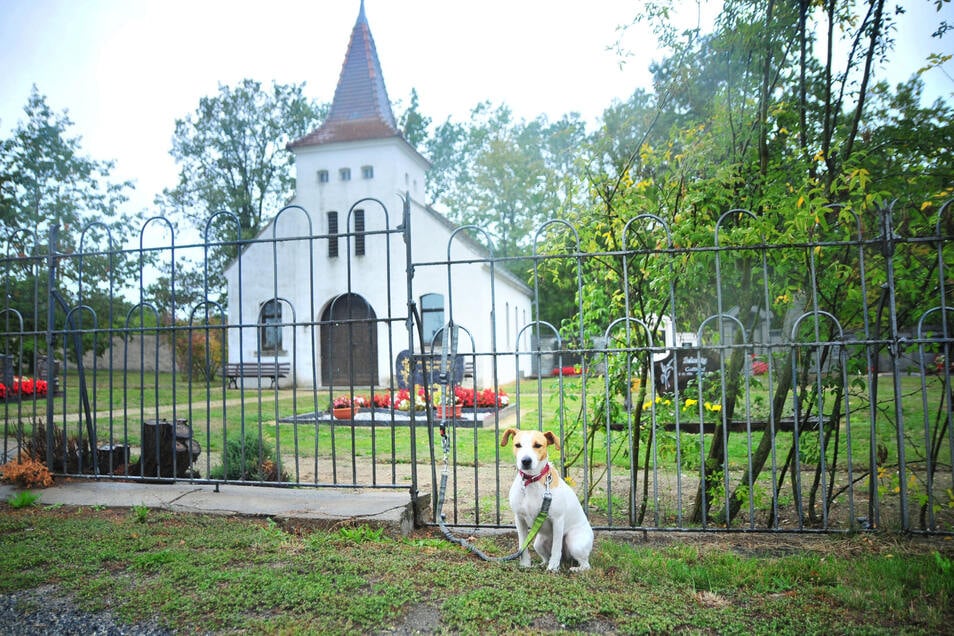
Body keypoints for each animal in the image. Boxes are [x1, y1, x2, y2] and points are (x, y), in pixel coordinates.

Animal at [502, 428, 592, 572]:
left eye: (538, 445)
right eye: (518, 445)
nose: (526, 461)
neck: (532, 481)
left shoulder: (557, 520)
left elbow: (556, 548)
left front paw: (553, 568)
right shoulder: (519, 519)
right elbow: (522, 545)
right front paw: (525, 564)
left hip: (574, 542)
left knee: (585, 564)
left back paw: (574, 569)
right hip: (539, 543)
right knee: (546, 557)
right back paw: (542, 564)